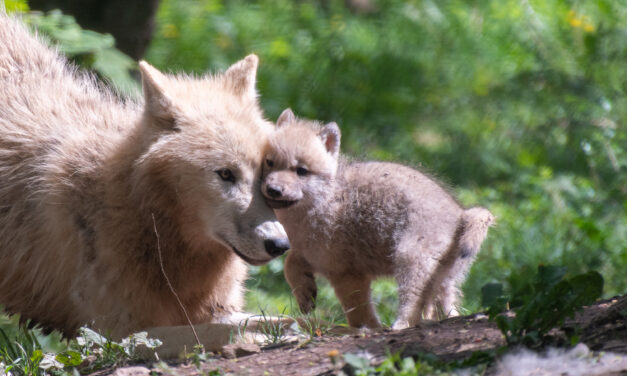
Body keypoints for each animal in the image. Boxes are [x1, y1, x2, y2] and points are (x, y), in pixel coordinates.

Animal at [0, 15, 290, 356]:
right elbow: (223, 330)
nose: (279, 244)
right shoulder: (117, 336)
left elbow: (247, 319)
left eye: (266, 175)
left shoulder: (215, 306)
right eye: (226, 174)